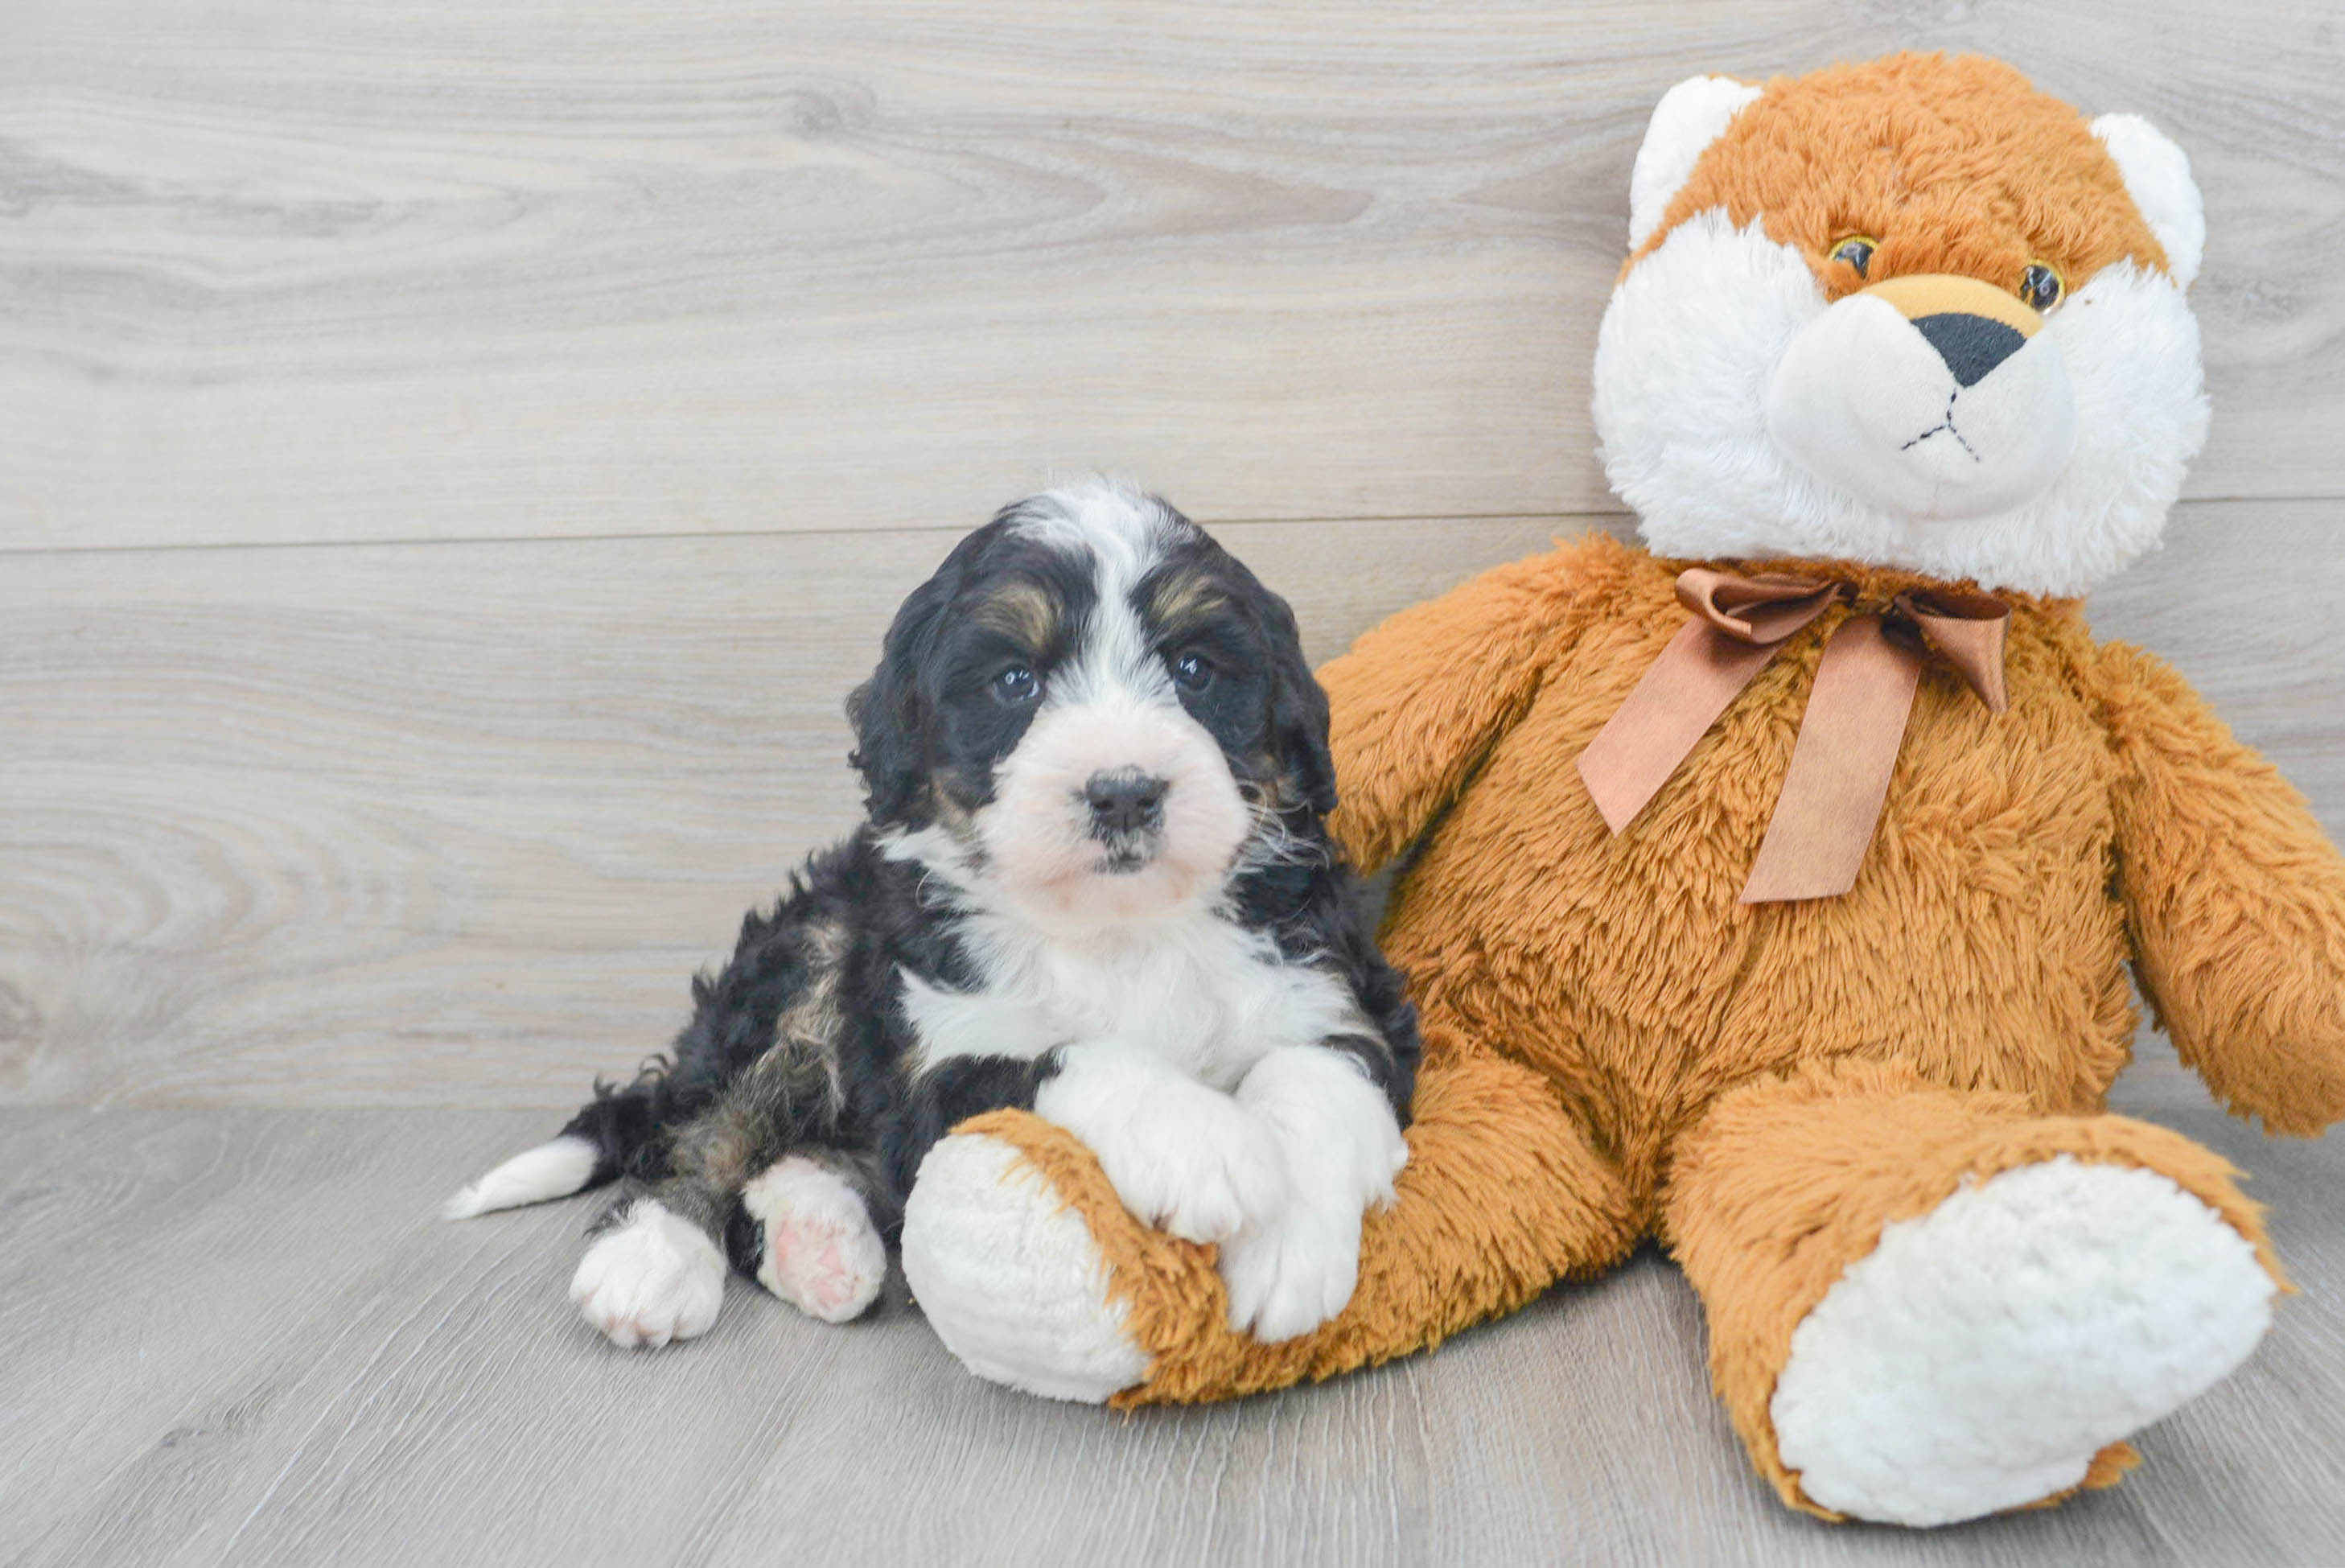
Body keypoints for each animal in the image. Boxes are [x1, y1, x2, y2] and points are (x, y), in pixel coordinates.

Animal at [447, 478, 1416, 1350]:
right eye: (1016, 680)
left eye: (1193, 669)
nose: (1123, 791)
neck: (1118, 926)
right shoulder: (938, 1058)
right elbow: (1063, 1056)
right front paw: (1203, 1143)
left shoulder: (1332, 989)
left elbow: (1317, 1074)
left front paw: (1289, 1249)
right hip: (812, 949)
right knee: (712, 1124)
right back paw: (653, 1256)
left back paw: (818, 1242)